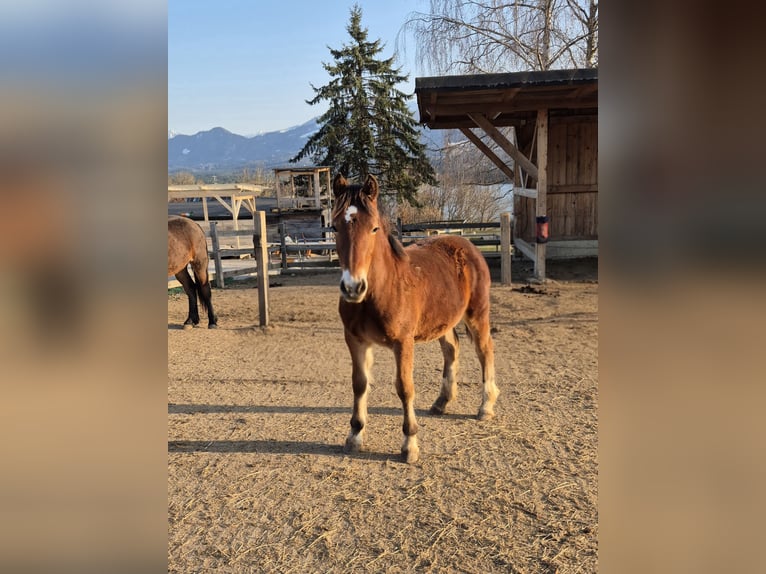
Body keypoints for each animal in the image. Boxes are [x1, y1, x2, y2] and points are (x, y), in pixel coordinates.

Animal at [332, 174, 498, 464]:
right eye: (333, 227)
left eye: (374, 228)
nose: (353, 287)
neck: (382, 288)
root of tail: (468, 245)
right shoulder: (355, 340)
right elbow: (360, 384)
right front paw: (355, 435)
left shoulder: (403, 342)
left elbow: (404, 387)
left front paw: (410, 444)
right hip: (444, 320)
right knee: (451, 349)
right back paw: (442, 402)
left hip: (477, 314)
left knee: (485, 350)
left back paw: (485, 406)